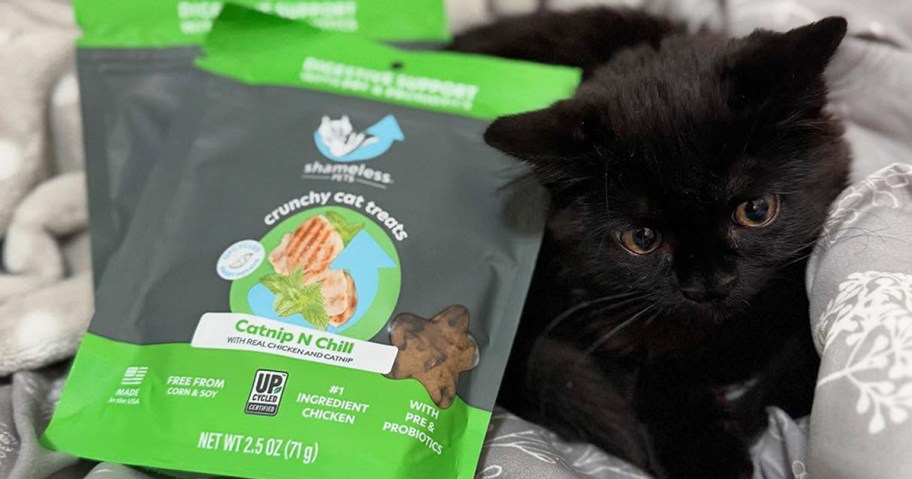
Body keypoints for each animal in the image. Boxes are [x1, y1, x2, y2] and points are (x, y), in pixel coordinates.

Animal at [452, 8, 852, 479]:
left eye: (755, 210)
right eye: (641, 239)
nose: (709, 284)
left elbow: (801, 375)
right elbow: (656, 369)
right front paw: (705, 453)